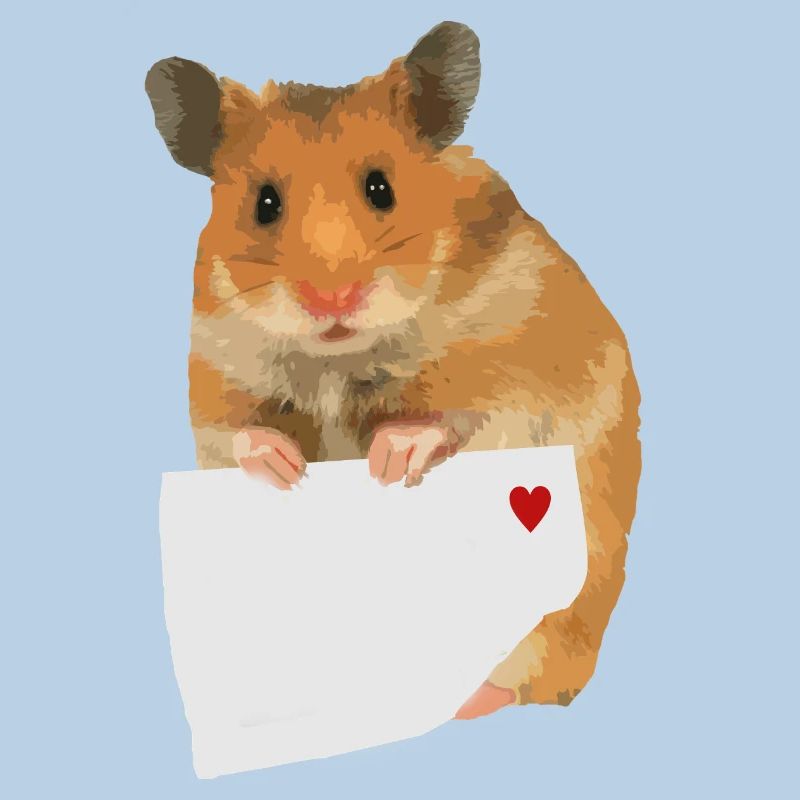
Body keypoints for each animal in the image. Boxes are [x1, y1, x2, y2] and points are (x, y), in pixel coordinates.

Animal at [146, 21, 641, 717]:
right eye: (264, 203)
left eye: (382, 188)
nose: (332, 299)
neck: (339, 357)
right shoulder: (216, 374)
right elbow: (240, 434)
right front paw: (287, 469)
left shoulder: (522, 371)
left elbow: (458, 418)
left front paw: (387, 458)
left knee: (537, 674)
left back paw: (468, 700)